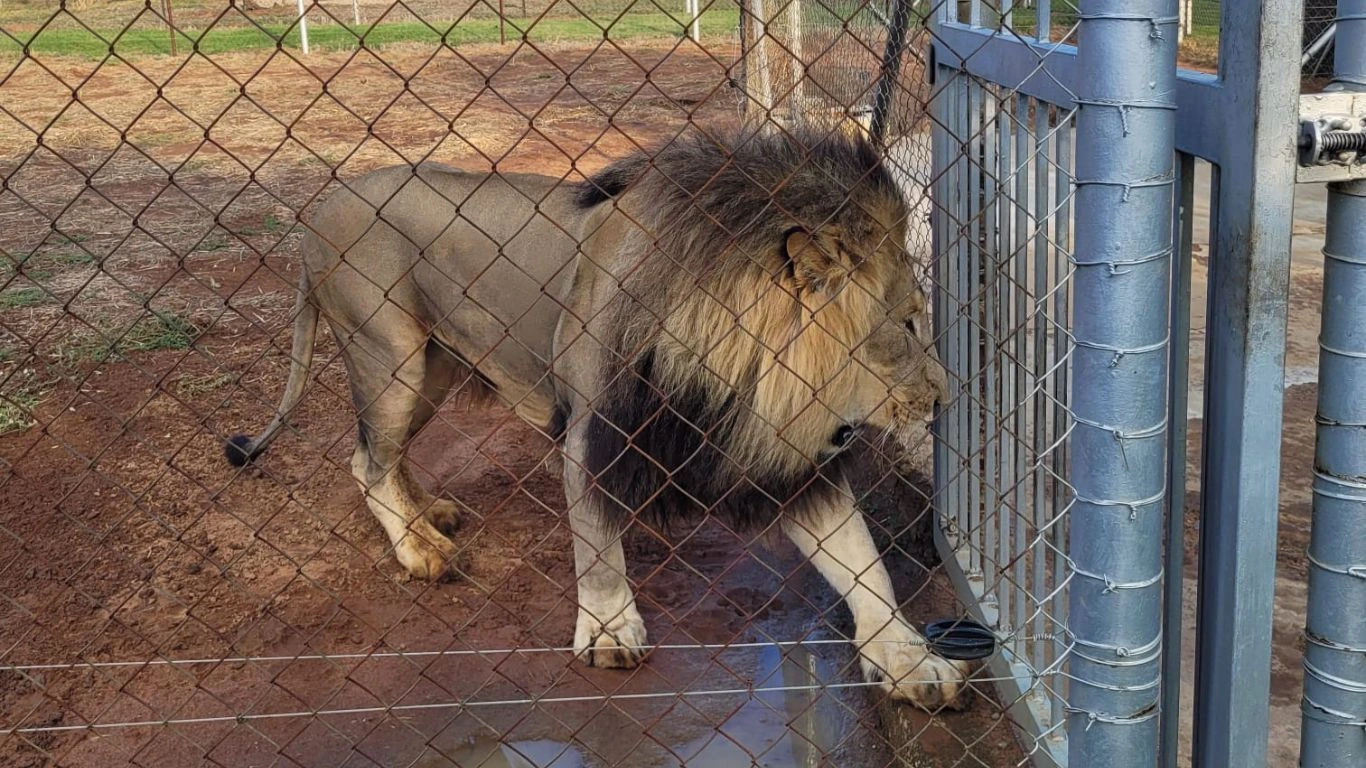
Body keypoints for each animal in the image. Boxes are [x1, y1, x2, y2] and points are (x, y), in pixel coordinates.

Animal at [224, 128, 967, 710]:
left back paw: (427, 514)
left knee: (379, 455)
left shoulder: (786, 460)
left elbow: (864, 565)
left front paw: (912, 660)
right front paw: (610, 631)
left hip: (431, 370)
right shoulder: (589, 431)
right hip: (389, 357)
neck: (741, 366)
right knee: (367, 460)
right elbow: (597, 540)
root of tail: (317, 214)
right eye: (907, 324)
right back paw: (419, 549)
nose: (944, 397)